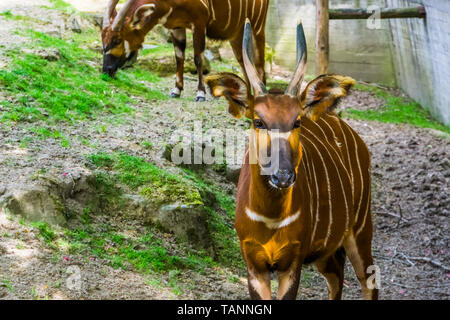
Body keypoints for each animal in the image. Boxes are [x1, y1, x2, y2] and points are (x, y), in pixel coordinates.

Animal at [101, 0, 268, 101]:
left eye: (117, 40)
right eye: (103, 38)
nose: (106, 70)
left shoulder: (199, 23)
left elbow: (198, 58)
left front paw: (200, 93)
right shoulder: (176, 27)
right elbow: (179, 57)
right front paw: (176, 90)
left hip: (257, 28)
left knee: (259, 63)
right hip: (237, 35)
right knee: (243, 61)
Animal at [206, 21, 378, 298]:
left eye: (296, 121)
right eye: (258, 121)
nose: (283, 176)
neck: (271, 218)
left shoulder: (292, 262)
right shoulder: (254, 264)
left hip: (360, 228)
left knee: (369, 280)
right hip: (325, 252)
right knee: (336, 276)